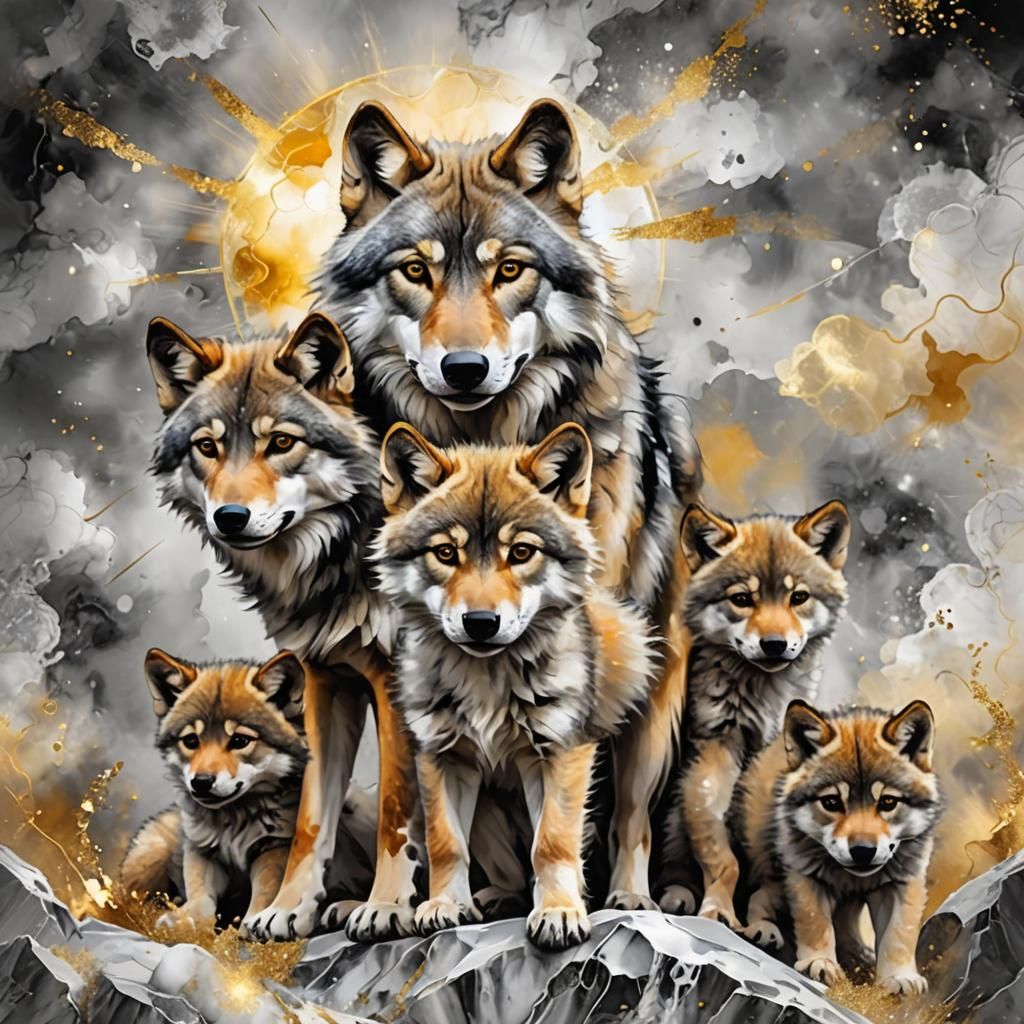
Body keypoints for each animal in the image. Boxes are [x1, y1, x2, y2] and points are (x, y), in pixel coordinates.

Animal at [121, 650, 310, 932]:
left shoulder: (273, 849)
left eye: (240, 741)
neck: (233, 821)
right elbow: (201, 897)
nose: (201, 781)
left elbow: (263, 897)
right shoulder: (202, 851)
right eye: (191, 741)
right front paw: (182, 921)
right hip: (152, 855)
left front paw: (249, 929)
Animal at [146, 312, 419, 940]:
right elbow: (310, 818)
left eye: (282, 442)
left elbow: (396, 807)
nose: (230, 517)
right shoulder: (322, 680)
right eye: (207, 447)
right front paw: (288, 910)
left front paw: (388, 907)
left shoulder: (399, 679)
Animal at [375, 421, 655, 948]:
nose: (481, 623)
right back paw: (492, 900)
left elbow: (553, 842)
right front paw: (444, 906)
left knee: (631, 825)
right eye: (446, 553)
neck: (488, 679)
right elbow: (445, 843)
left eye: (521, 552)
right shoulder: (440, 756)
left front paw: (560, 912)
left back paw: (629, 897)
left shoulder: (562, 752)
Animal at [659, 501, 851, 925]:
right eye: (742, 599)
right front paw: (717, 910)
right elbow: (723, 859)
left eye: (798, 597)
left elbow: (774, 871)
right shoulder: (713, 754)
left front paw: (763, 922)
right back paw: (677, 896)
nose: (774, 644)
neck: (765, 695)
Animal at [736, 700, 943, 995]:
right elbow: (815, 923)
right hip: (777, 876)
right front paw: (819, 963)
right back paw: (764, 930)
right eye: (832, 802)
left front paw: (899, 977)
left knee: (846, 925)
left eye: (888, 802)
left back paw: (860, 954)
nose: (863, 850)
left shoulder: (904, 882)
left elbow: (899, 933)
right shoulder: (804, 877)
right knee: (758, 897)